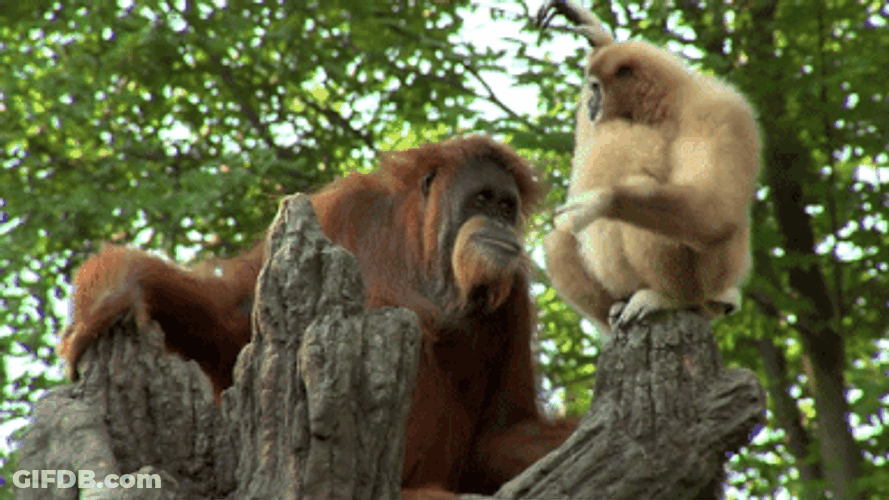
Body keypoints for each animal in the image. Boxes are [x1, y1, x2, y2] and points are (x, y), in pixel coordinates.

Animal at [537, 0, 761, 330]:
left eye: (595, 87)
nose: (590, 102)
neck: (663, 107)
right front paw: (597, 32)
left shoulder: (717, 110)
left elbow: (717, 209)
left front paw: (604, 200)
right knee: (559, 239)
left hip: (710, 279)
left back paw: (669, 298)